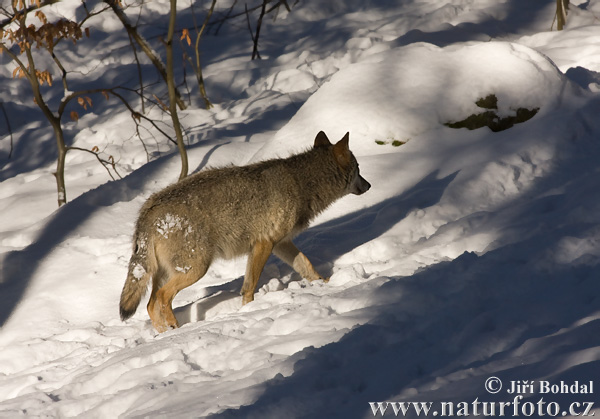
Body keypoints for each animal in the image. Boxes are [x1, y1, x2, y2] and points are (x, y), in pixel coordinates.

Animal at [118, 131, 370, 332]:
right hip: (196, 270)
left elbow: (306, 265)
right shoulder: (264, 244)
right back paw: (175, 328)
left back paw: (165, 334)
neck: (300, 184)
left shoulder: (280, 244)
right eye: (359, 169)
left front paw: (325, 284)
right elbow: (249, 286)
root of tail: (148, 210)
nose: (369, 185)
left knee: (150, 304)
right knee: (162, 298)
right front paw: (250, 309)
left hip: (167, 273)